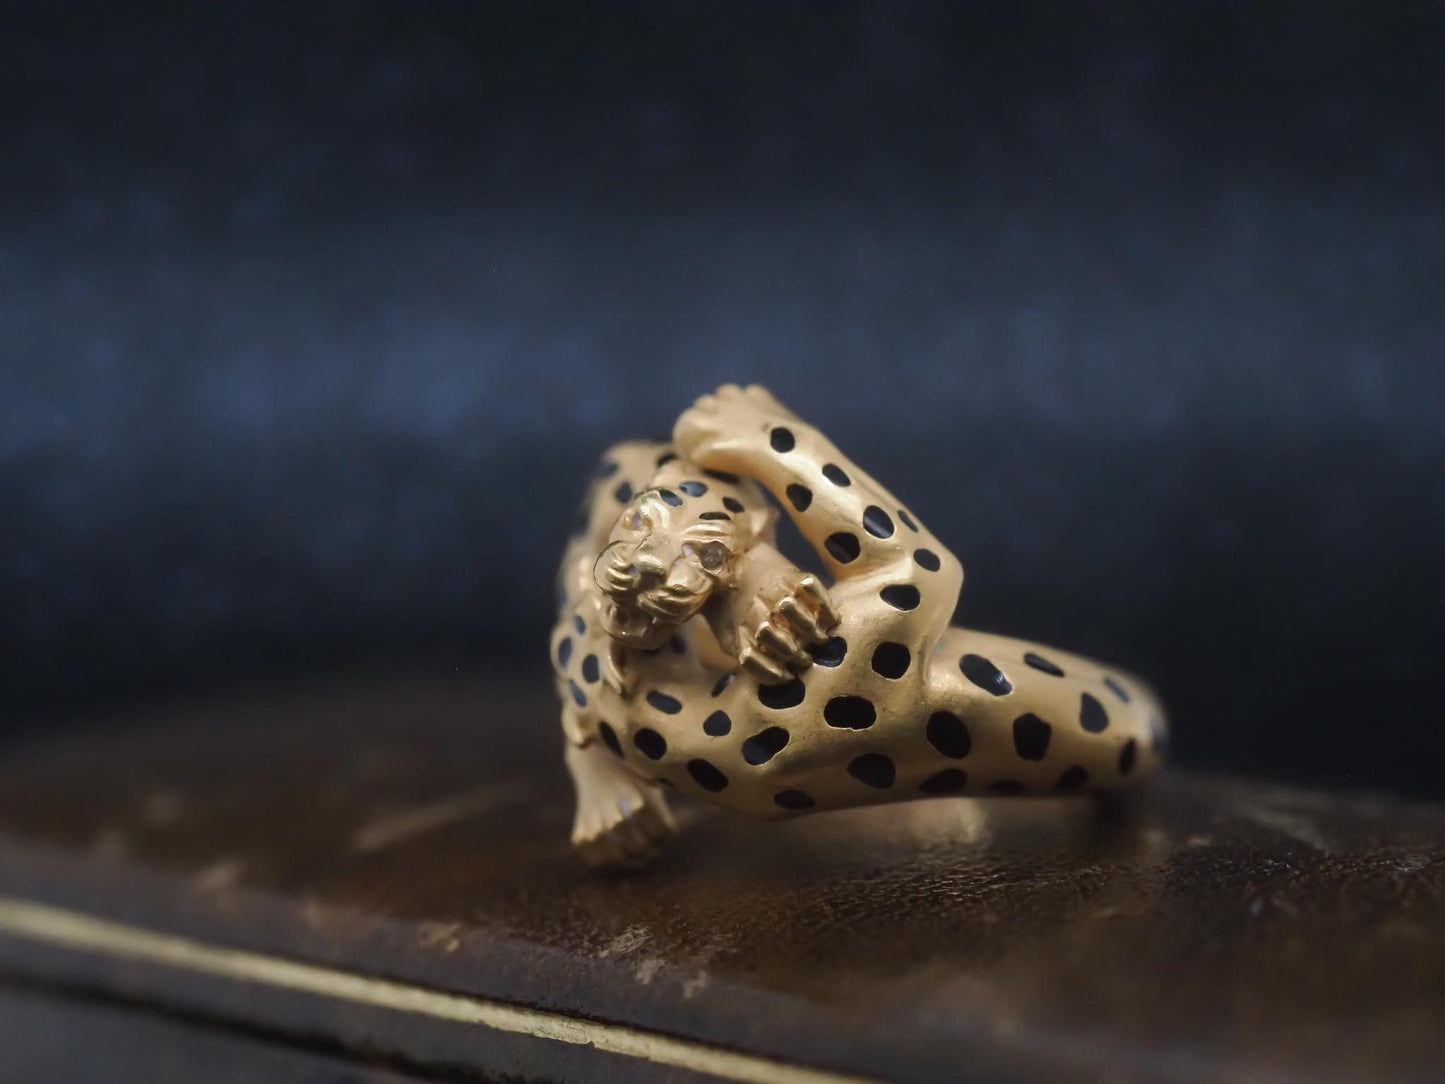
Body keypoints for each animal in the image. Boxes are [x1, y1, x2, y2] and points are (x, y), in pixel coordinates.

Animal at [552, 384, 1167, 869]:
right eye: (639, 519)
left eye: (709, 555)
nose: (643, 570)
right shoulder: (889, 608)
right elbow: (908, 544)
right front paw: (737, 414)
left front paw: (767, 605)